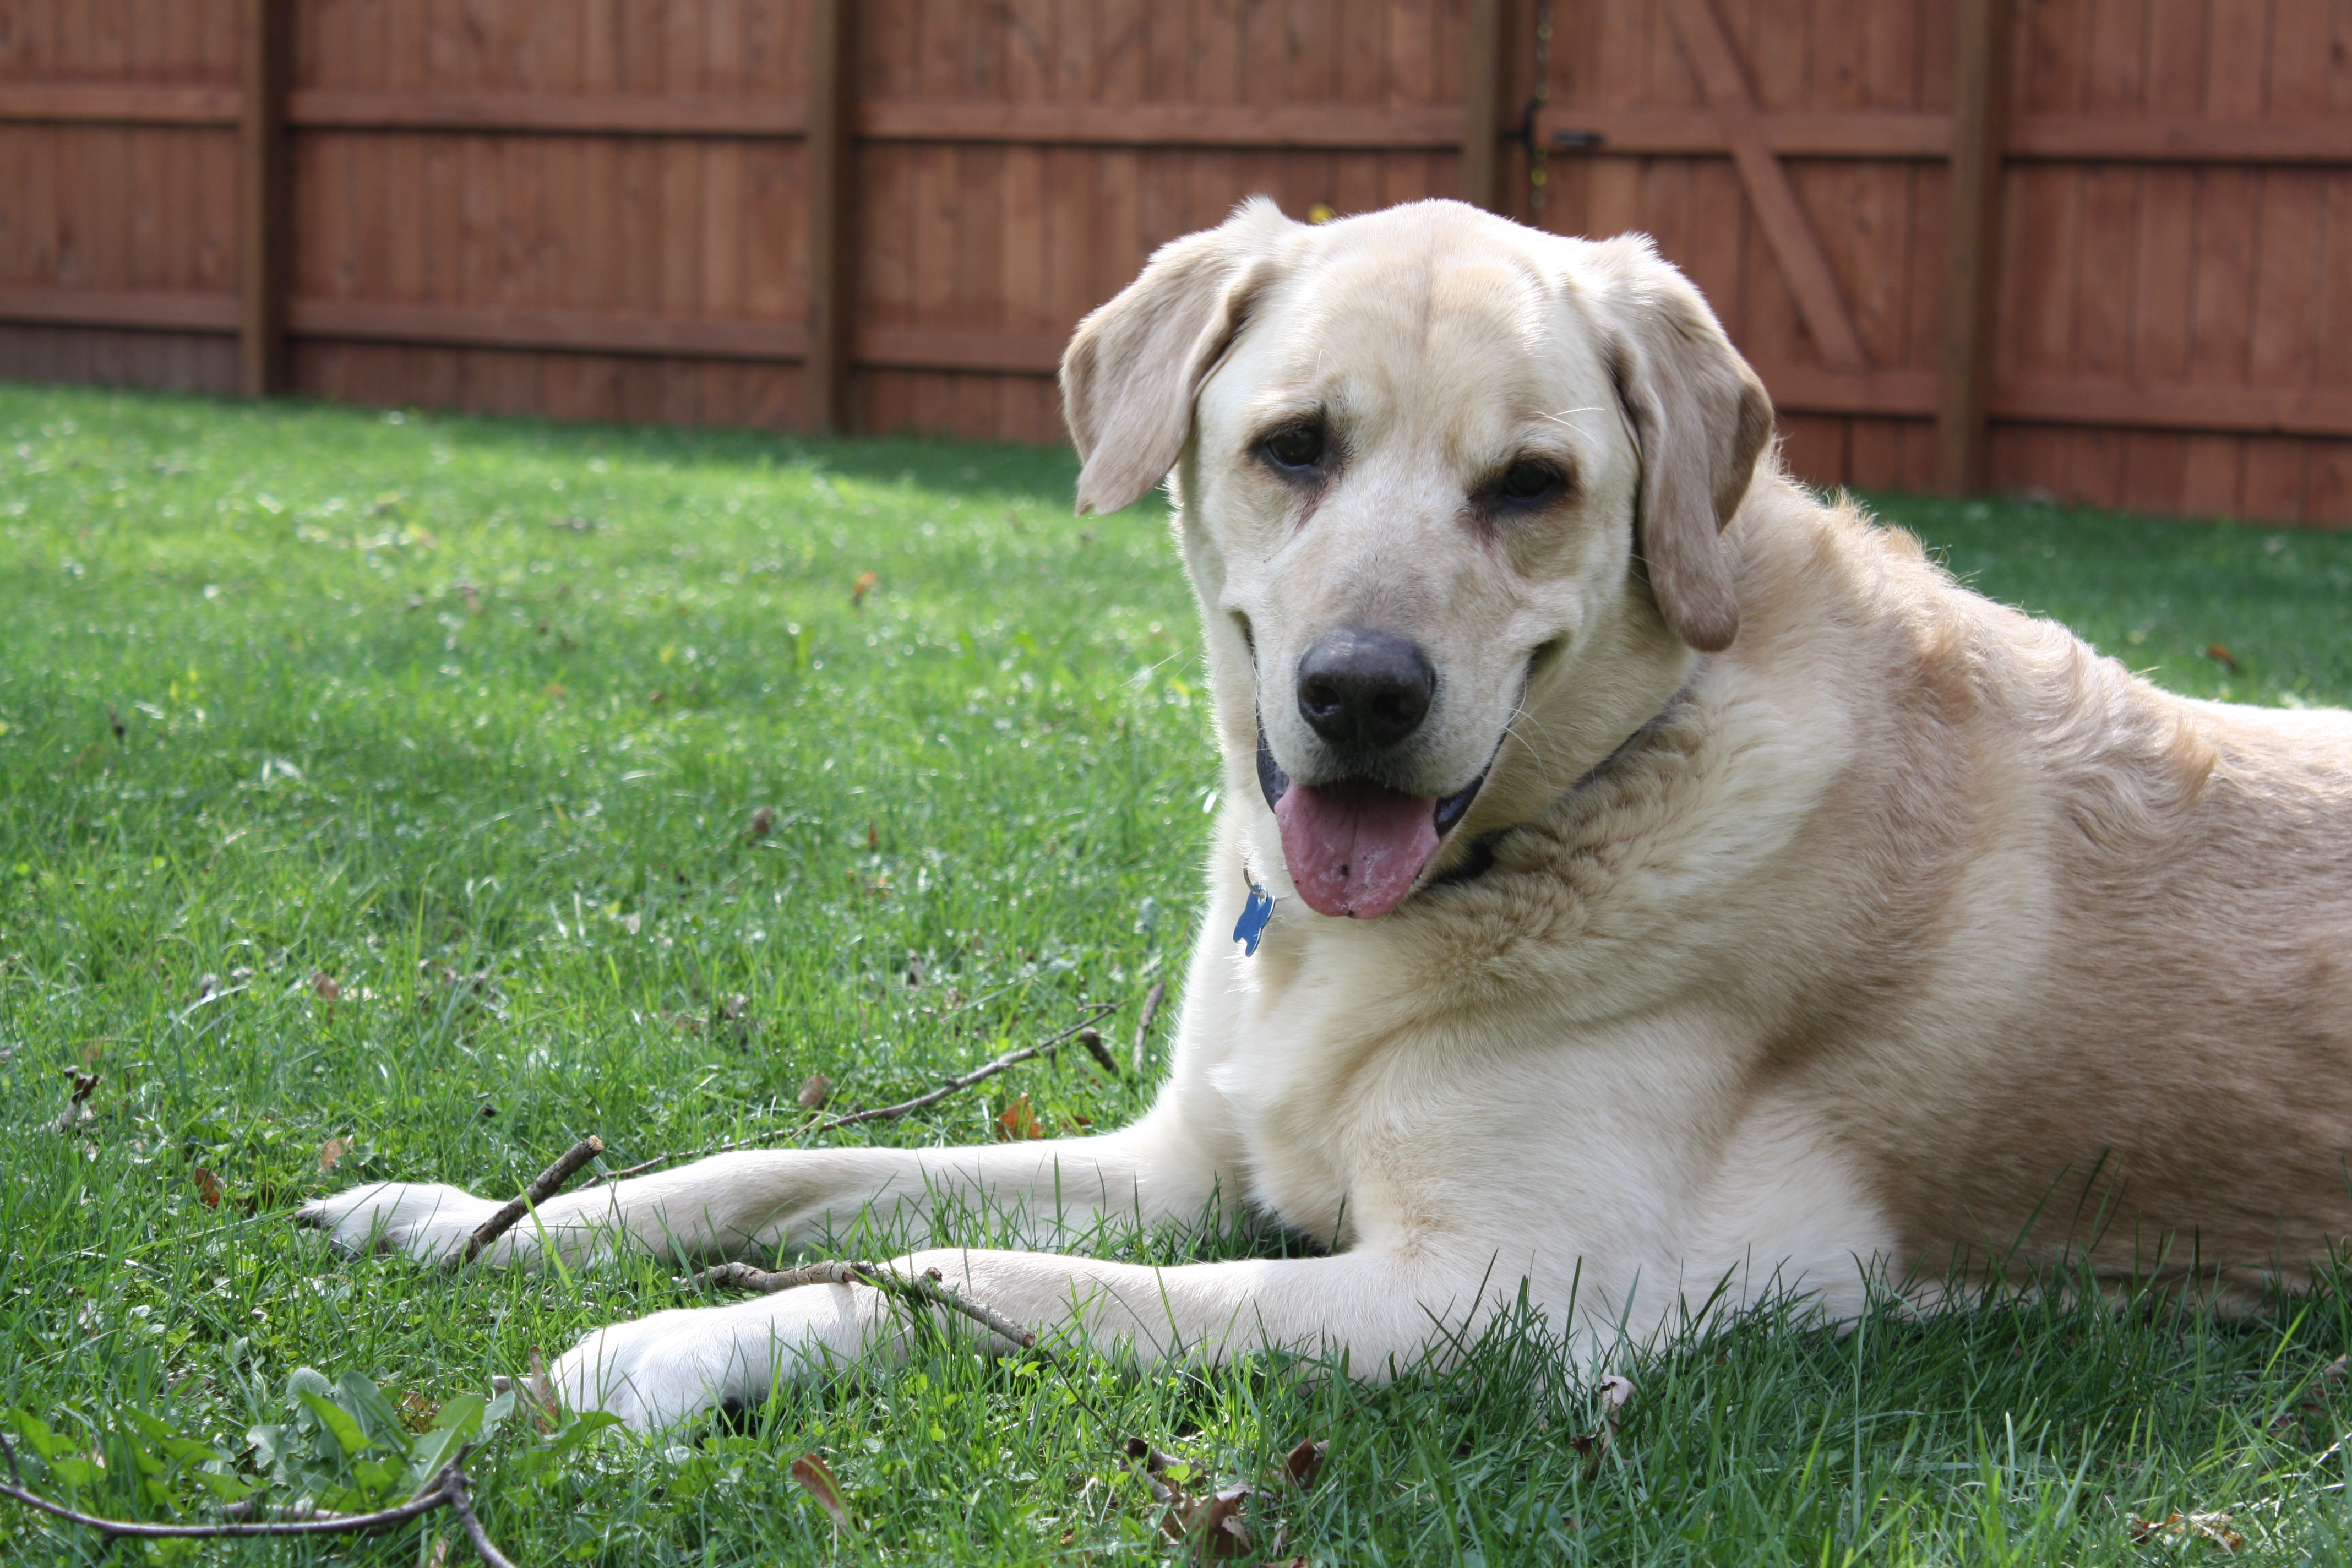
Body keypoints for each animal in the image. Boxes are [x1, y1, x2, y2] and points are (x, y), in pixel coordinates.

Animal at [301, 197, 2352, 1430]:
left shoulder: (1506, 1298)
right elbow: (771, 1171)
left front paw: (677, 1348)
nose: (1361, 694)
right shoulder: (1186, 1165)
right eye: (1293, 445)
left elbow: (956, 1272)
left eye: (1529, 484)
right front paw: (471, 1221)